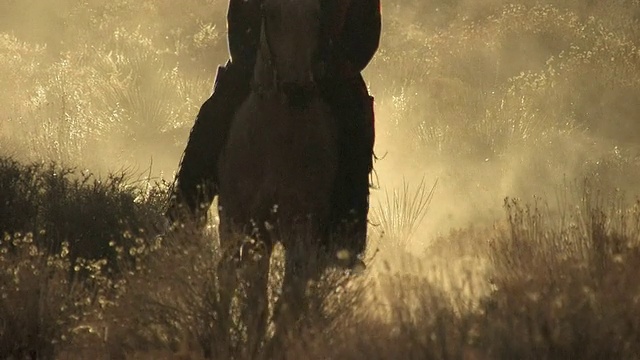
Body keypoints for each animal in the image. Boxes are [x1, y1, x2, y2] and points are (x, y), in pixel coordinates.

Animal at [215, 0, 356, 352]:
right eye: (272, 13)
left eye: (317, 15)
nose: (298, 87)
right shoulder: (256, 226)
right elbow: (256, 303)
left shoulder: (302, 227)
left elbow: (288, 302)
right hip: (229, 220)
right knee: (226, 276)